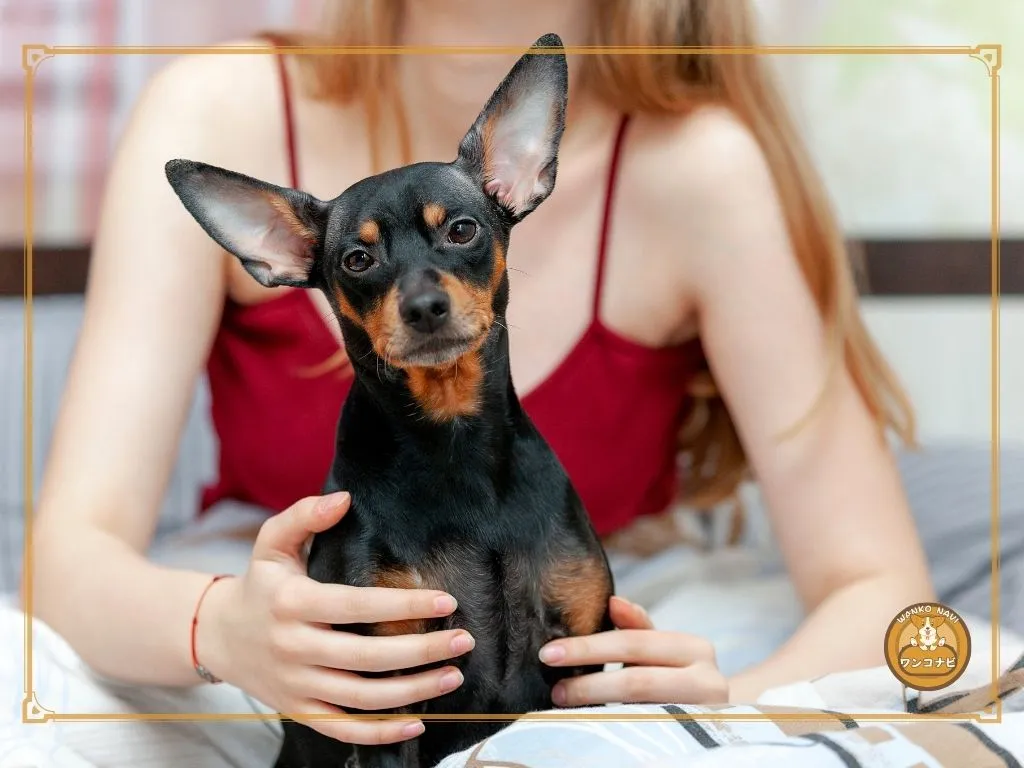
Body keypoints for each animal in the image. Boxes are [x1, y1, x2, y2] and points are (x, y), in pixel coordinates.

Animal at [165, 33, 614, 765]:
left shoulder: (581, 667)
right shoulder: (384, 700)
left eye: (462, 231)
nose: (425, 306)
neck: (453, 447)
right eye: (357, 260)